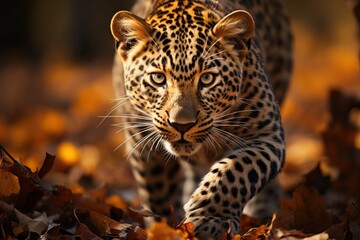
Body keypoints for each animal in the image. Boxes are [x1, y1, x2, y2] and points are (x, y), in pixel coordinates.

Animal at [109, 0, 292, 238]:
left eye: (207, 79)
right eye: (158, 78)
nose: (181, 125)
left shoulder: (267, 135)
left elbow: (237, 170)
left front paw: (210, 220)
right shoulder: (143, 144)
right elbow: (158, 192)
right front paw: (165, 228)